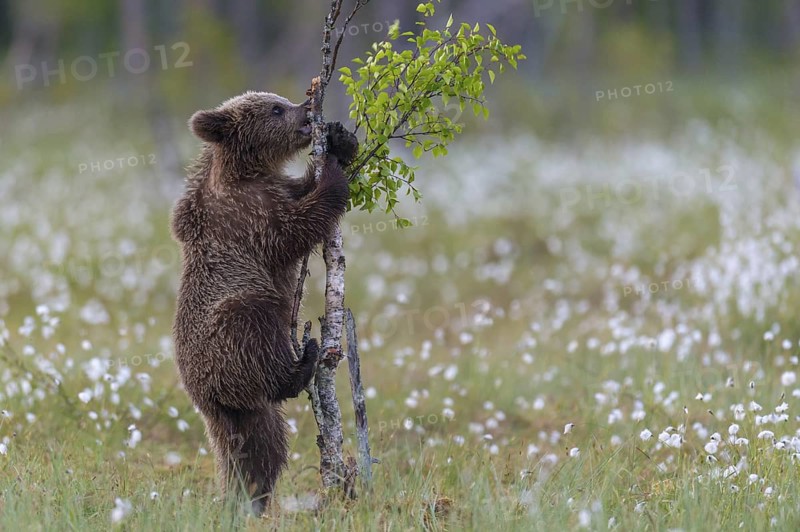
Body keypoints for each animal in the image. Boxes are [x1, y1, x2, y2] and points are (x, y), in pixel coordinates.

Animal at [170, 91, 358, 515]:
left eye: (282, 100)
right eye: (275, 109)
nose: (306, 110)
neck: (248, 171)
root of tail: (208, 401)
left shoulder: (276, 189)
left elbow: (301, 191)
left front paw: (341, 141)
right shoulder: (248, 216)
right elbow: (296, 229)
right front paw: (333, 174)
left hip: (245, 412)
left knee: (262, 445)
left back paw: (249, 498)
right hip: (228, 328)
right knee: (257, 331)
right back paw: (304, 360)